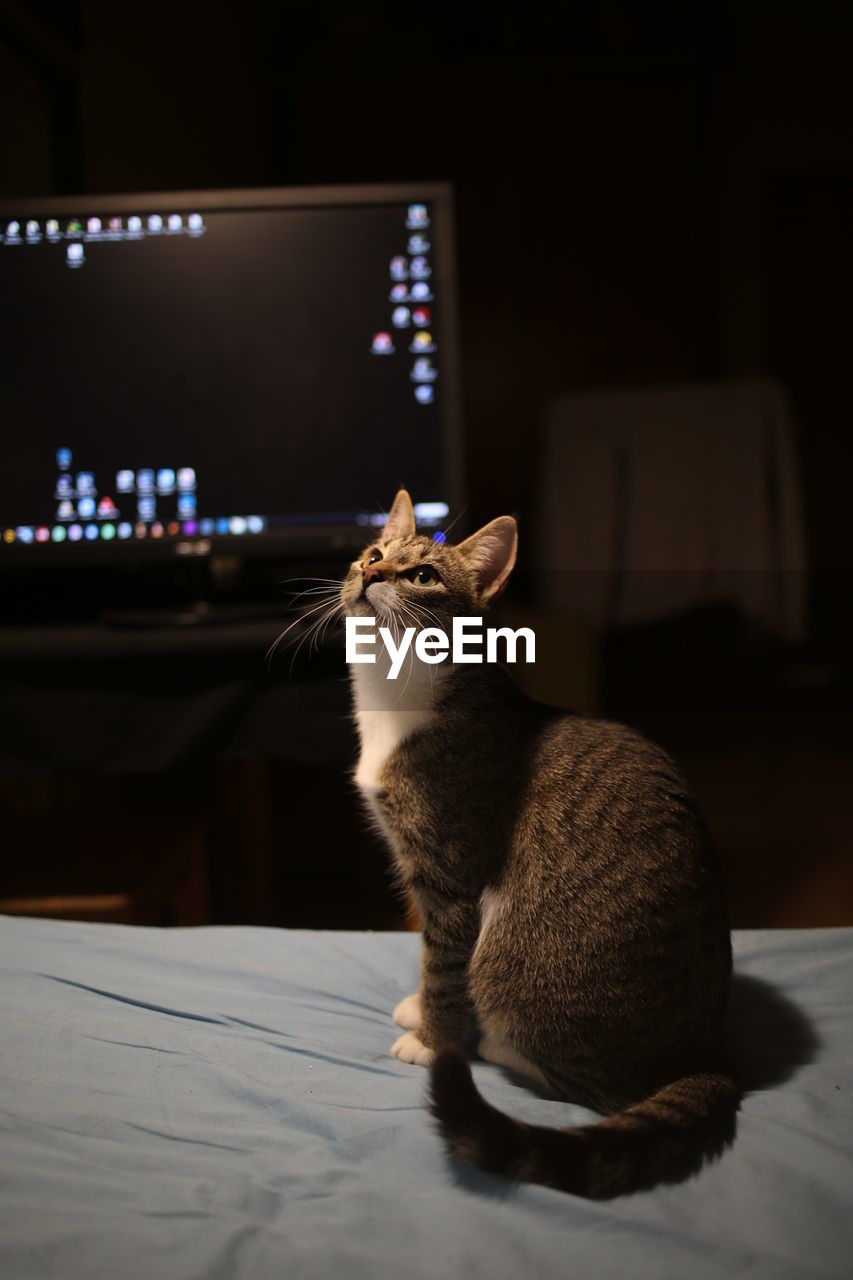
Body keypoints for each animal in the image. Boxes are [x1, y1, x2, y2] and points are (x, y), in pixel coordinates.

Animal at [338, 486, 737, 1198]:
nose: (371, 574)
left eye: (423, 575)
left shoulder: (450, 882)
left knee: (594, 1088)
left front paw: (434, 1037)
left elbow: (442, 965)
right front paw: (422, 1009)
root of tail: (706, 1056)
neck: (395, 699)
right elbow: (426, 958)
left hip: (509, 954)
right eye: (376, 552)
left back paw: (494, 1045)